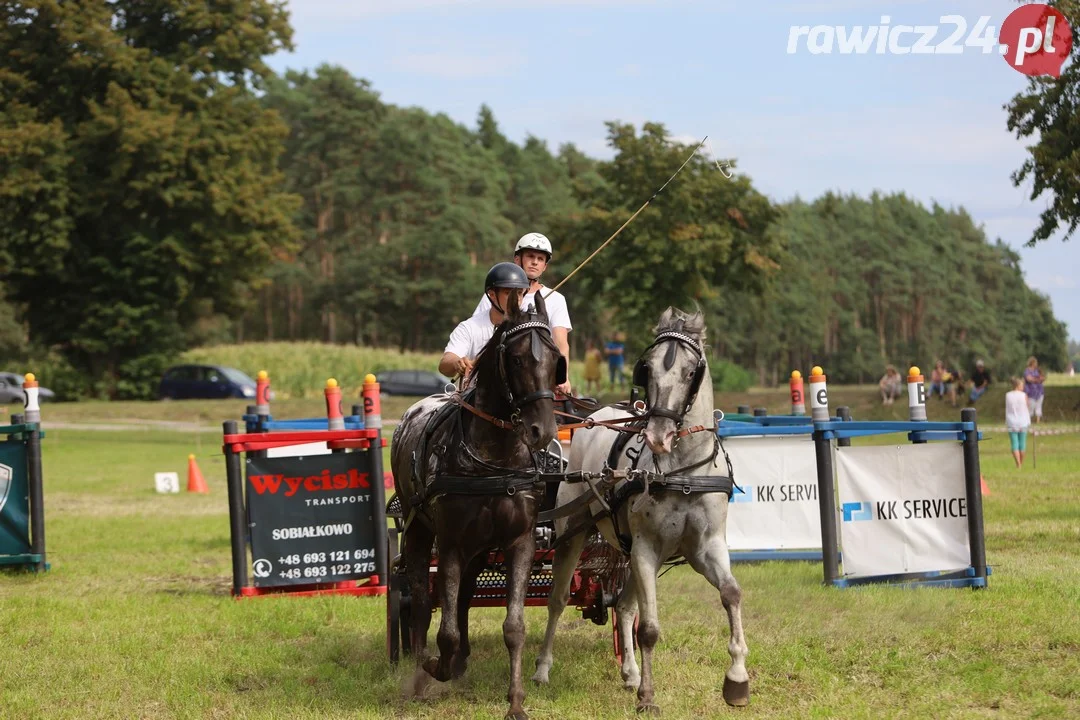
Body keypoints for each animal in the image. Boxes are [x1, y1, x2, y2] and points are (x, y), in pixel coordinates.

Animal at [531, 306, 751, 712]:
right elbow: (648, 629)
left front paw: (737, 679)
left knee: (623, 607)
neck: (683, 472)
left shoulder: (706, 547)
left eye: (691, 372)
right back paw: (541, 668)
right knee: (558, 600)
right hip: (575, 534)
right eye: (646, 369)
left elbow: (731, 594)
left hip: (629, 551)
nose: (658, 436)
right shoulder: (648, 548)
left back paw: (630, 673)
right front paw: (648, 697)